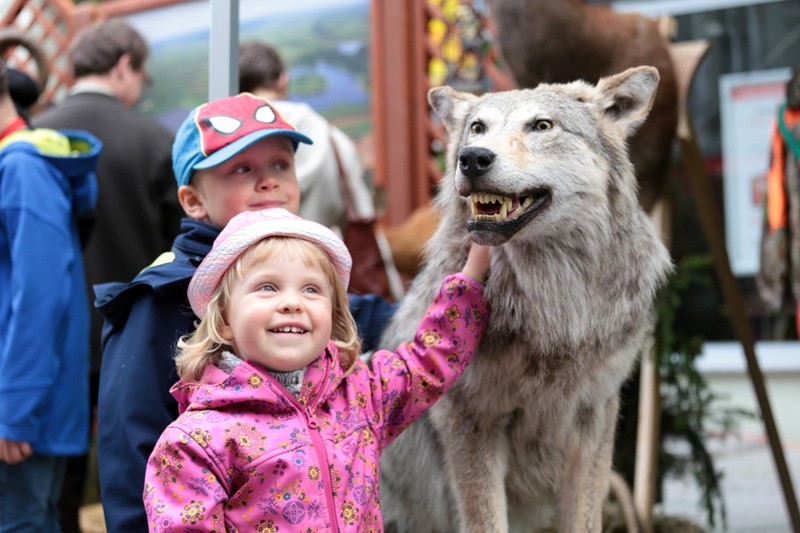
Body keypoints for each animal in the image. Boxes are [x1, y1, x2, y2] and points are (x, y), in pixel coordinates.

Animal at [378, 67, 672, 532]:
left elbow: (585, 521)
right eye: (477, 128)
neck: (551, 309)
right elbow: (485, 522)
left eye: (542, 125)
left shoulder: (594, 418)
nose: (472, 158)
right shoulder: (471, 421)